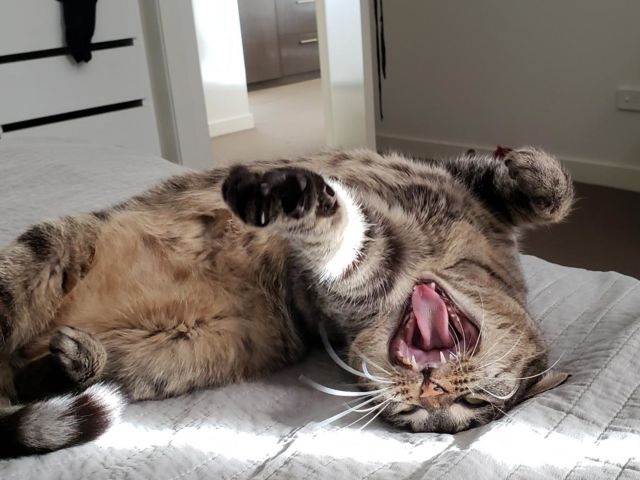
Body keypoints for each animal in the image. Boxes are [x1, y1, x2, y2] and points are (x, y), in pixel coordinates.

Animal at [0, 146, 573, 457]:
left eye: (467, 407)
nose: (431, 395)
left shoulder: (343, 284)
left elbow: (354, 245)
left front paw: (304, 202)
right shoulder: (457, 178)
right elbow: (551, 194)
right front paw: (530, 169)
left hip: (156, 362)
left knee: (32, 381)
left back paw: (73, 359)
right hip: (51, 247)